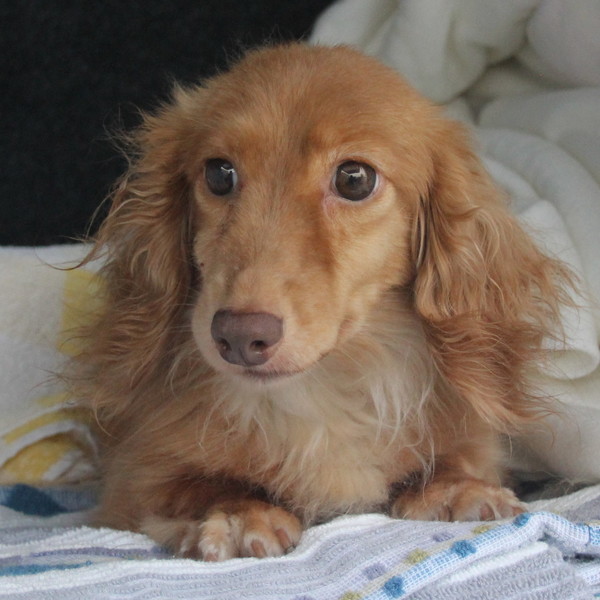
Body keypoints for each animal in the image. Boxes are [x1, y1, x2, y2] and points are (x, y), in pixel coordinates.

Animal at [74, 43, 570, 560]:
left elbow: (452, 463)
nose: (238, 335)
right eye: (218, 173)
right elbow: (200, 485)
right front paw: (239, 513)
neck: (322, 394)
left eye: (354, 179)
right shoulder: (135, 474)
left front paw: (456, 489)